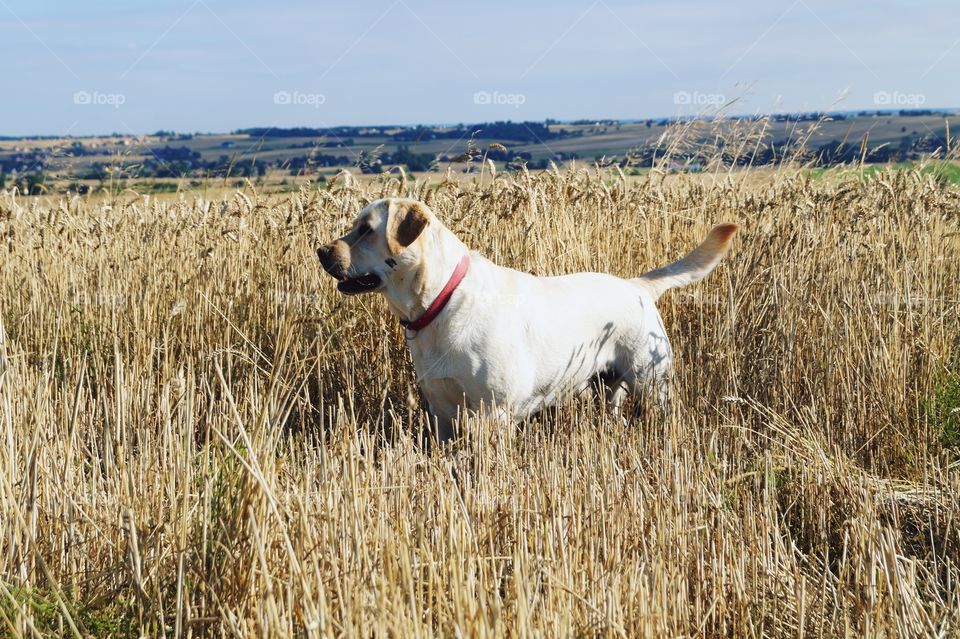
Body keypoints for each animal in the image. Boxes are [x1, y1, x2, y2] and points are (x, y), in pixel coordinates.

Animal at [318, 198, 740, 442]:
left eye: (366, 230)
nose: (321, 251)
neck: (440, 299)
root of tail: (636, 286)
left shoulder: (495, 413)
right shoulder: (442, 412)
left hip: (653, 384)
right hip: (607, 389)